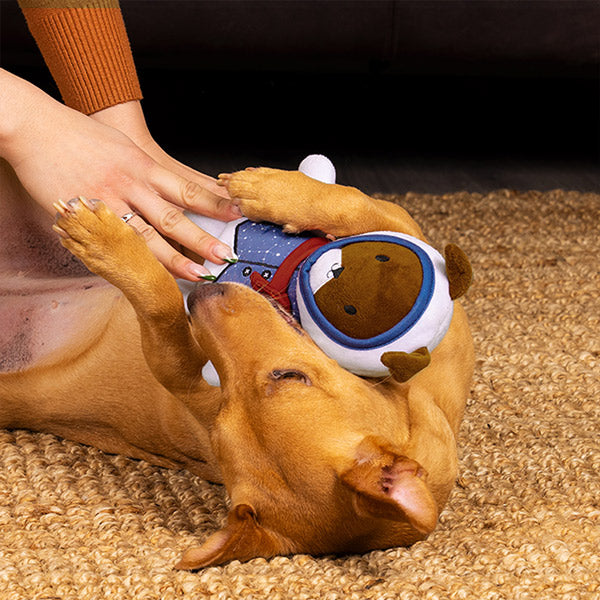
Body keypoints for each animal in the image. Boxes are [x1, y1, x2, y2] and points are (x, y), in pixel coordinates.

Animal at [0, 163, 474, 568]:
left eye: (287, 376)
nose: (202, 295)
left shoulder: (179, 373)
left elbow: (162, 306)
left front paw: (105, 242)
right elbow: (358, 205)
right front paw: (271, 189)